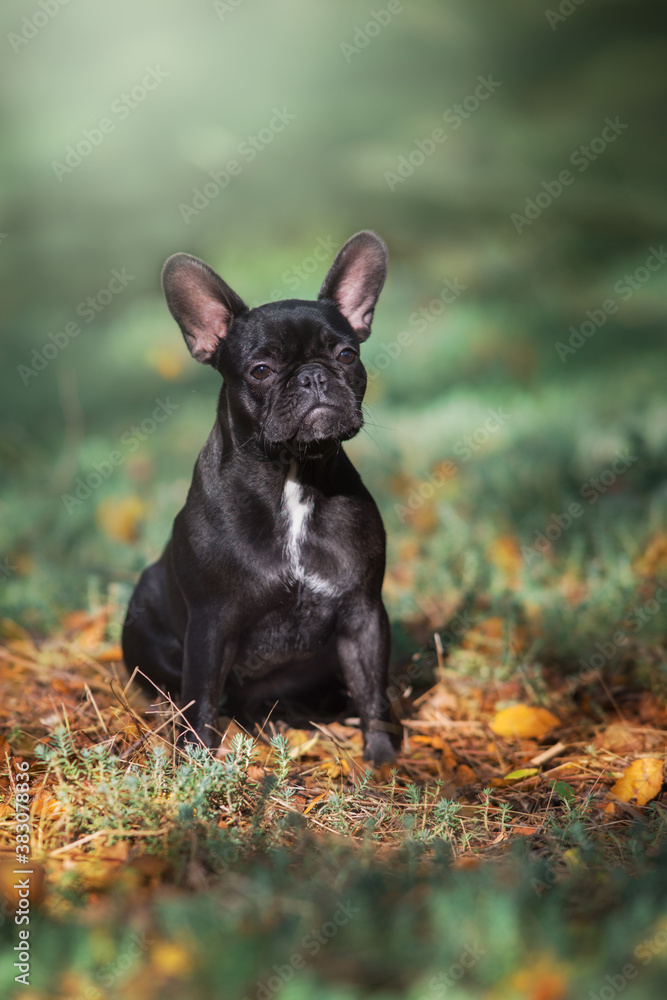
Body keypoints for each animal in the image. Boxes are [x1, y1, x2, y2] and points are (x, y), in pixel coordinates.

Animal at [123, 232, 396, 764]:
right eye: (262, 369)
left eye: (347, 355)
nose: (313, 376)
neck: (291, 477)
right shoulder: (211, 625)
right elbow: (200, 699)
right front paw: (196, 763)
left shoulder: (364, 614)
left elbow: (372, 689)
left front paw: (382, 759)